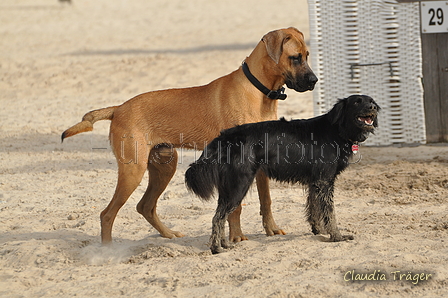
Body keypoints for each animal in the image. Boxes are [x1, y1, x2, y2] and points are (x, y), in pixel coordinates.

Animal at [61, 26, 316, 243]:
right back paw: (108, 251)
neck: (259, 91)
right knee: (107, 214)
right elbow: (236, 207)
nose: (314, 81)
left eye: (308, 55)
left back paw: (168, 235)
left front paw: (271, 228)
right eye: (295, 57)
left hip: (164, 166)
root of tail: (118, 109)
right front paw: (236, 237)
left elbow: (266, 199)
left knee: (145, 206)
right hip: (133, 169)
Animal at [185, 95, 378, 254]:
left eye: (371, 101)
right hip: (239, 185)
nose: (373, 107)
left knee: (221, 216)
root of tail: (224, 138)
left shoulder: (315, 183)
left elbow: (315, 210)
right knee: (217, 218)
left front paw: (319, 231)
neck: (336, 129)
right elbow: (330, 213)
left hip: (228, 188)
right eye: (357, 102)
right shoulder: (324, 182)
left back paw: (224, 244)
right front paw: (337, 237)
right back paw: (216, 248)